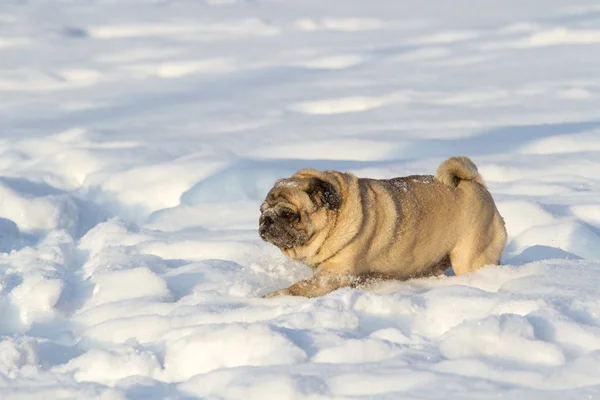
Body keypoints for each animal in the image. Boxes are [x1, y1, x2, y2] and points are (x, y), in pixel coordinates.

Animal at [258, 156, 506, 296]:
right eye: (262, 211)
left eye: (288, 214)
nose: (266, 220)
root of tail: (476, 184)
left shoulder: (332, 275)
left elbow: (298, 288)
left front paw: (274, 297)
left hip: (470, 257)